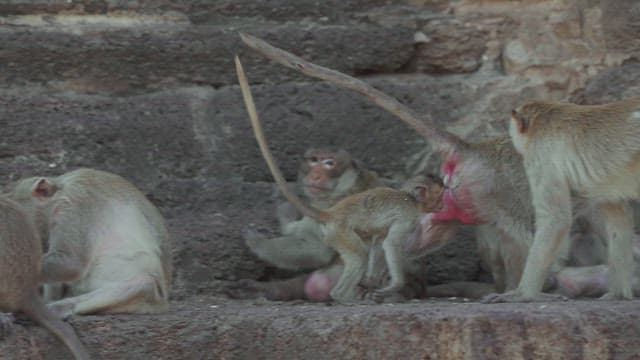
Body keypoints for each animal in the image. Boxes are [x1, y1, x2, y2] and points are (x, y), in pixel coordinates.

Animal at [3, 169, 172, 318]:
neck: (60, 192)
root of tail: (162, 305)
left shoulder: (76, 202)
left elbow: (69, 262)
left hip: (149, 296)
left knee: (144, 284)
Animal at [484, 97, 640, 302]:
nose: (515, 146)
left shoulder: (541, 157)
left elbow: (556, 219)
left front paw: (523, 294)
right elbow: (619, 220)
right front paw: (619, 294)